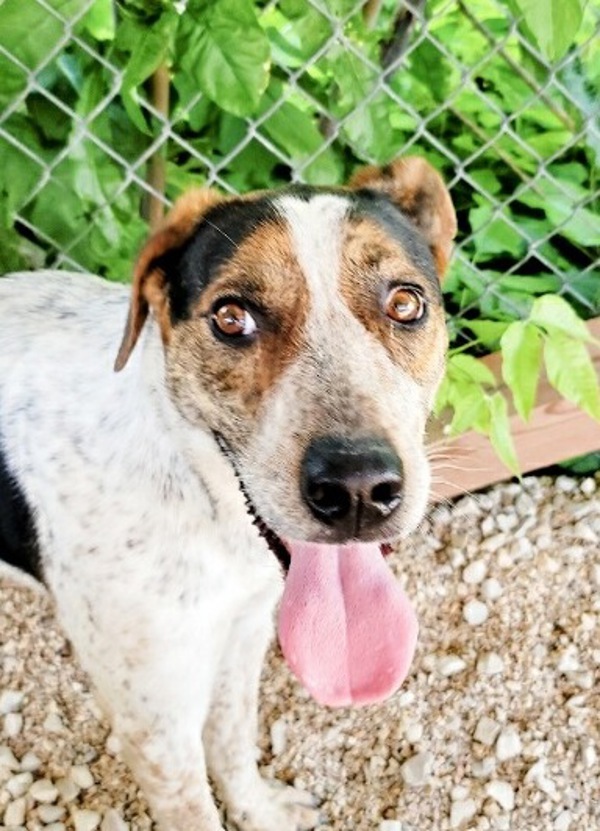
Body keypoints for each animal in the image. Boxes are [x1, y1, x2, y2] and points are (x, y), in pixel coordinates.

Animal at [0, 158, 458, 831]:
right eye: (231, 317)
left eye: (405, 302)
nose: (358, 488)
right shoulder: (157, 724)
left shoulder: (243, 633)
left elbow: (235, 742)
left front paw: (260, 811)